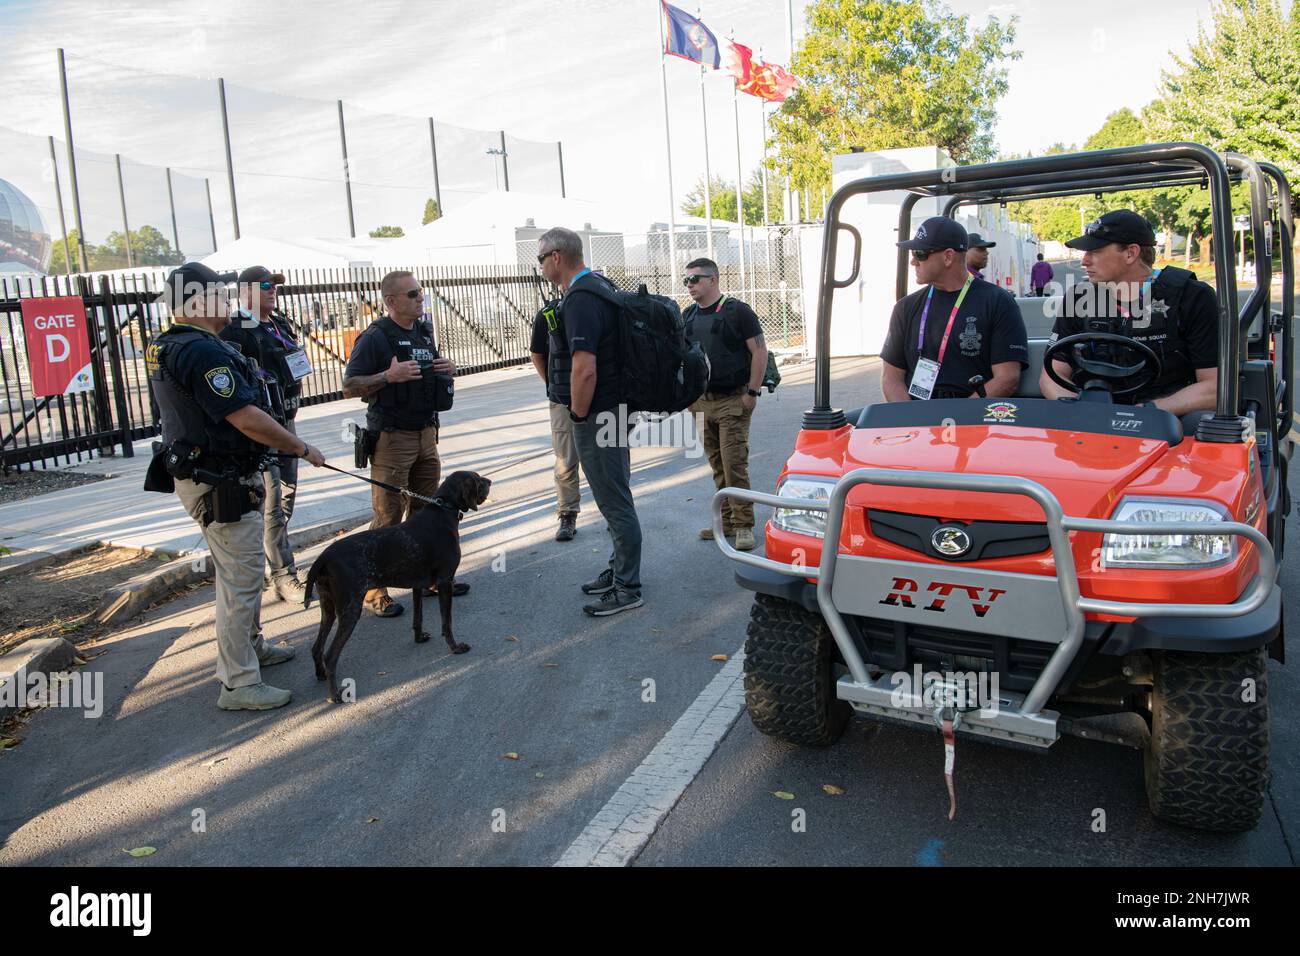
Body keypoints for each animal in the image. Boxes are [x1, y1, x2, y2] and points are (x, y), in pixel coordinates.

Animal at [301, 470, 488, 702]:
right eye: (477, 479)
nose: (490, 481)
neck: (443, 510)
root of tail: (324, 557)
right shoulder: (445, 582)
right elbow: (447, 623)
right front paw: (455, 647)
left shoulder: (418, 585)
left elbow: (418, 618)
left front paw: (419, 637)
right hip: (350, 609)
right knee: (330, 655)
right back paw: (335, 695)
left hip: (328, 608)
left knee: (316, 647)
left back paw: (320, 675)